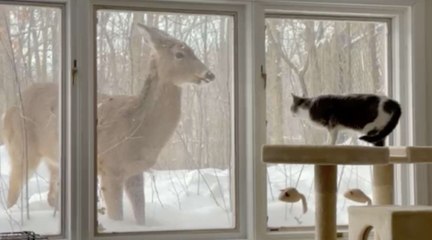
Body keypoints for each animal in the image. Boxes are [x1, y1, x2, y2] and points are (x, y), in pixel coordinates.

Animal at [4, 23, 216, 224]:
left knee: (50, 196)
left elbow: (141, 217)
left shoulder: (135, 172)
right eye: (179, 54)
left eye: (193, 50)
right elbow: (117, 216)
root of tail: (10, 108)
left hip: (53, 160)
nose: (210, 74)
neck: (138, 127)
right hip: (22, 147)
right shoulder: (110, 167)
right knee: (12, 192)